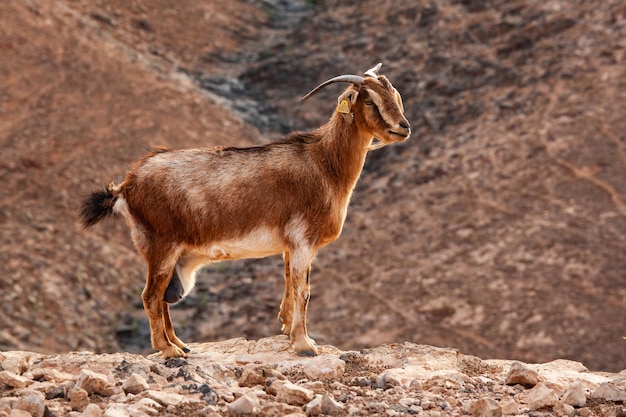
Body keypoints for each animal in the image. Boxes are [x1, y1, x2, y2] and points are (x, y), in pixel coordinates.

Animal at [79, 62, 410, 358]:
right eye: (369, 99)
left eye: (394, 94)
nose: (403, 128)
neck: (324, 163)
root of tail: (126, 186)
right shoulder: (303, 241)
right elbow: (303, 290)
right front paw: (305, 345)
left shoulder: (290, 245)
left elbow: (289, 282)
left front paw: (288, 329)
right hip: (161, 245)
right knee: (151, 296)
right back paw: (169, 350)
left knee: (162, 298)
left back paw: (180, 344)